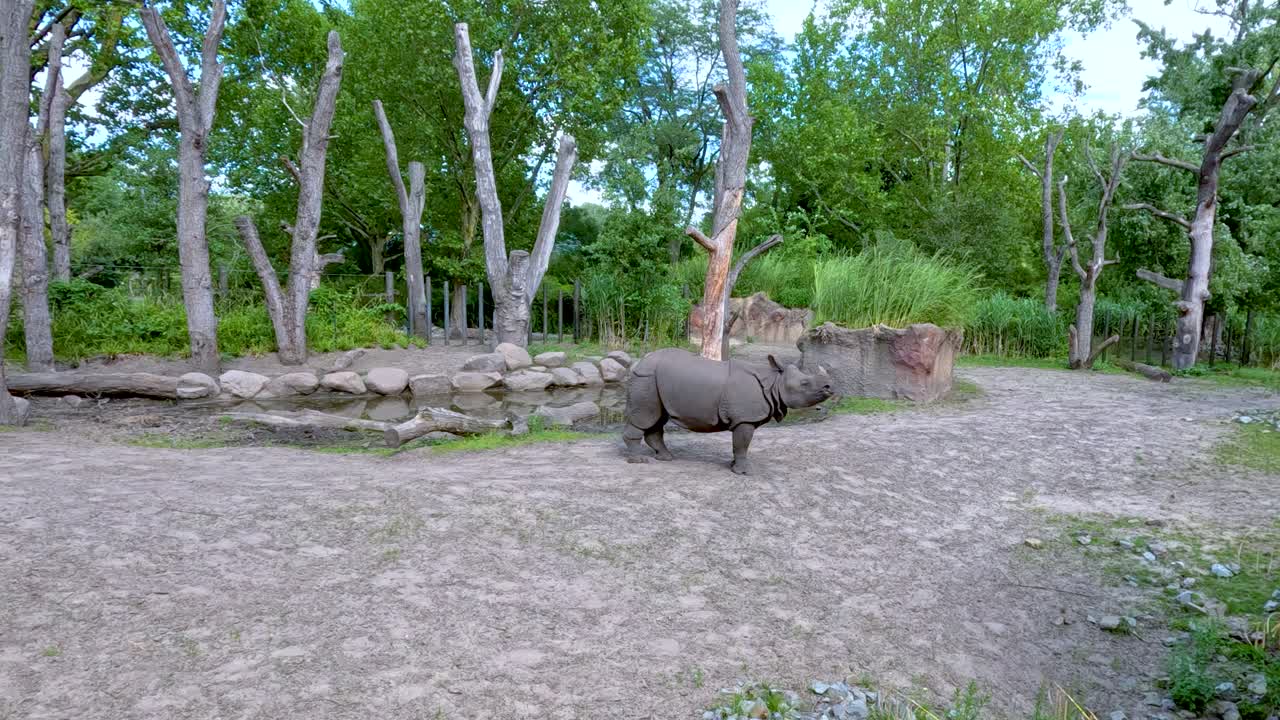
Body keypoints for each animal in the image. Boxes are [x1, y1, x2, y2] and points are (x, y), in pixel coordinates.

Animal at [622, 348, 833, 475]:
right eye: (805, 383)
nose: (830, 387)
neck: (774, 382)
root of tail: (639, 363)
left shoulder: (744, 418)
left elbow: (740, 445)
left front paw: (734, 467)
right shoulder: (745, 419)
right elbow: (742, 445)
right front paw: (744, 472)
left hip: (654, 380)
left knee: (657, 418)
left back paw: (666, 458)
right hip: (646, 378)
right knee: (645, 417)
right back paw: (639, 461)